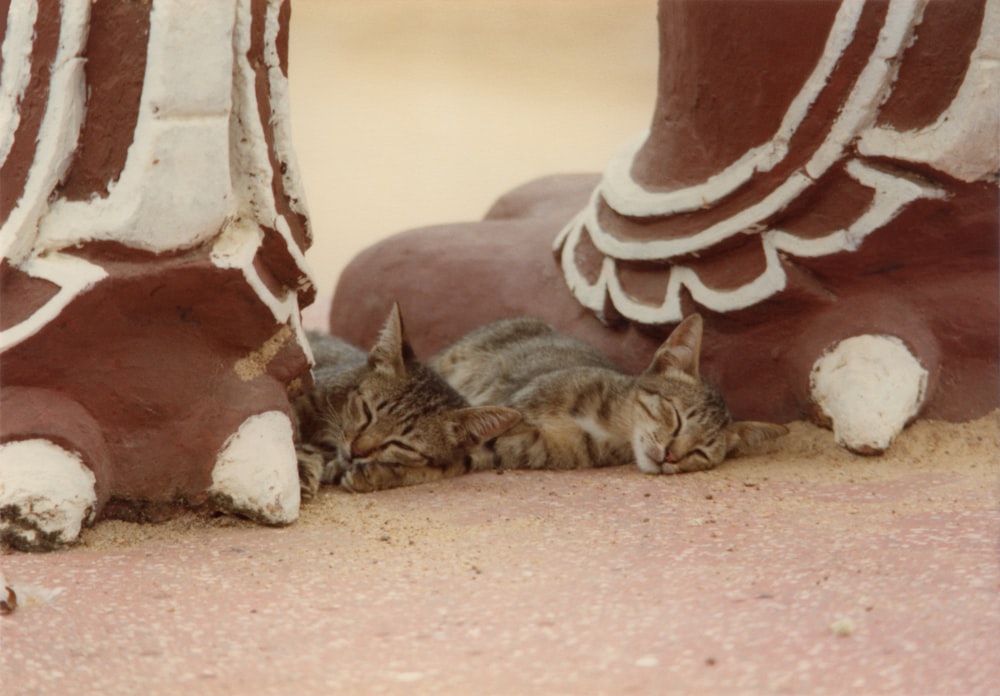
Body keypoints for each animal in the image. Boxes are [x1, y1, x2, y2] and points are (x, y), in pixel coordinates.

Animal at [292, 304, 520, 494]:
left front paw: (379, 475)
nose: (355, 451)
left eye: (402, 445)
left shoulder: (478, 455)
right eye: (367, 411)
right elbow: (291, 429)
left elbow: (441, 468)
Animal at [430, 316, 788, 478]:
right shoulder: (507, 409)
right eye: (676, 416)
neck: (606, 424)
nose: (671, 456)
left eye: (700, 452)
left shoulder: (516, 449)